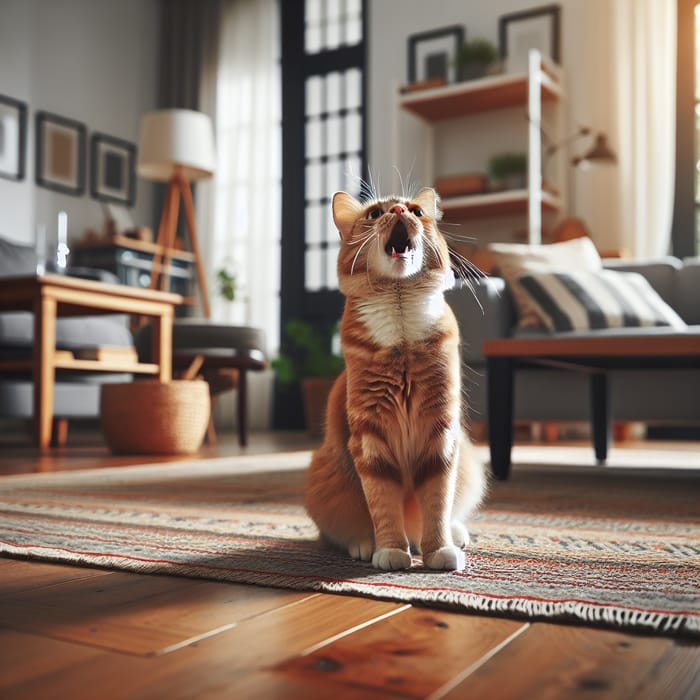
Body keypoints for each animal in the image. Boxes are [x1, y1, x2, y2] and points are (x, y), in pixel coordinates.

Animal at [306, 189, 486, 572]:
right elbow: (382, 505)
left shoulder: (441, 433)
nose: (401, 210)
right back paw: (363, 543)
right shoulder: (370, 437)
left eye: (416, 211)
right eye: (375, 214)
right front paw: (390, 550)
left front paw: (439, 550)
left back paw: (456, 534)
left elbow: (437, 503)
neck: (402, 334)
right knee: (334, 533)